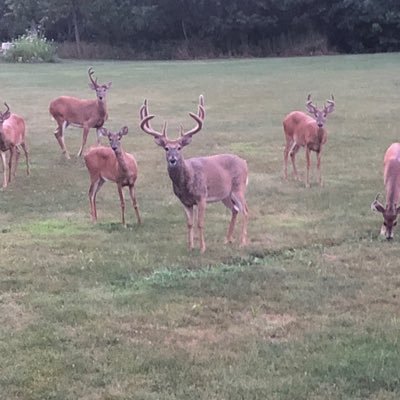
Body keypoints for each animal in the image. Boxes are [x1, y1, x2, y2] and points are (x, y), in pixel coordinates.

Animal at [139, 94, 248, 253]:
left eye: (179, 147)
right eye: (166, 148)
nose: (173, 159)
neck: (186, 183)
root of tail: (245, 162)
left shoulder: (202, 196)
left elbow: (200, 223)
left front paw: (202, 248)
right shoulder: (185, 201)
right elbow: (189, 223)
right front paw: (190, 247)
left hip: (238, 187)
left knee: (245, 210)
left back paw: (242, 242)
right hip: (225, 195)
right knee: (235, 210)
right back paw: (227, 240)